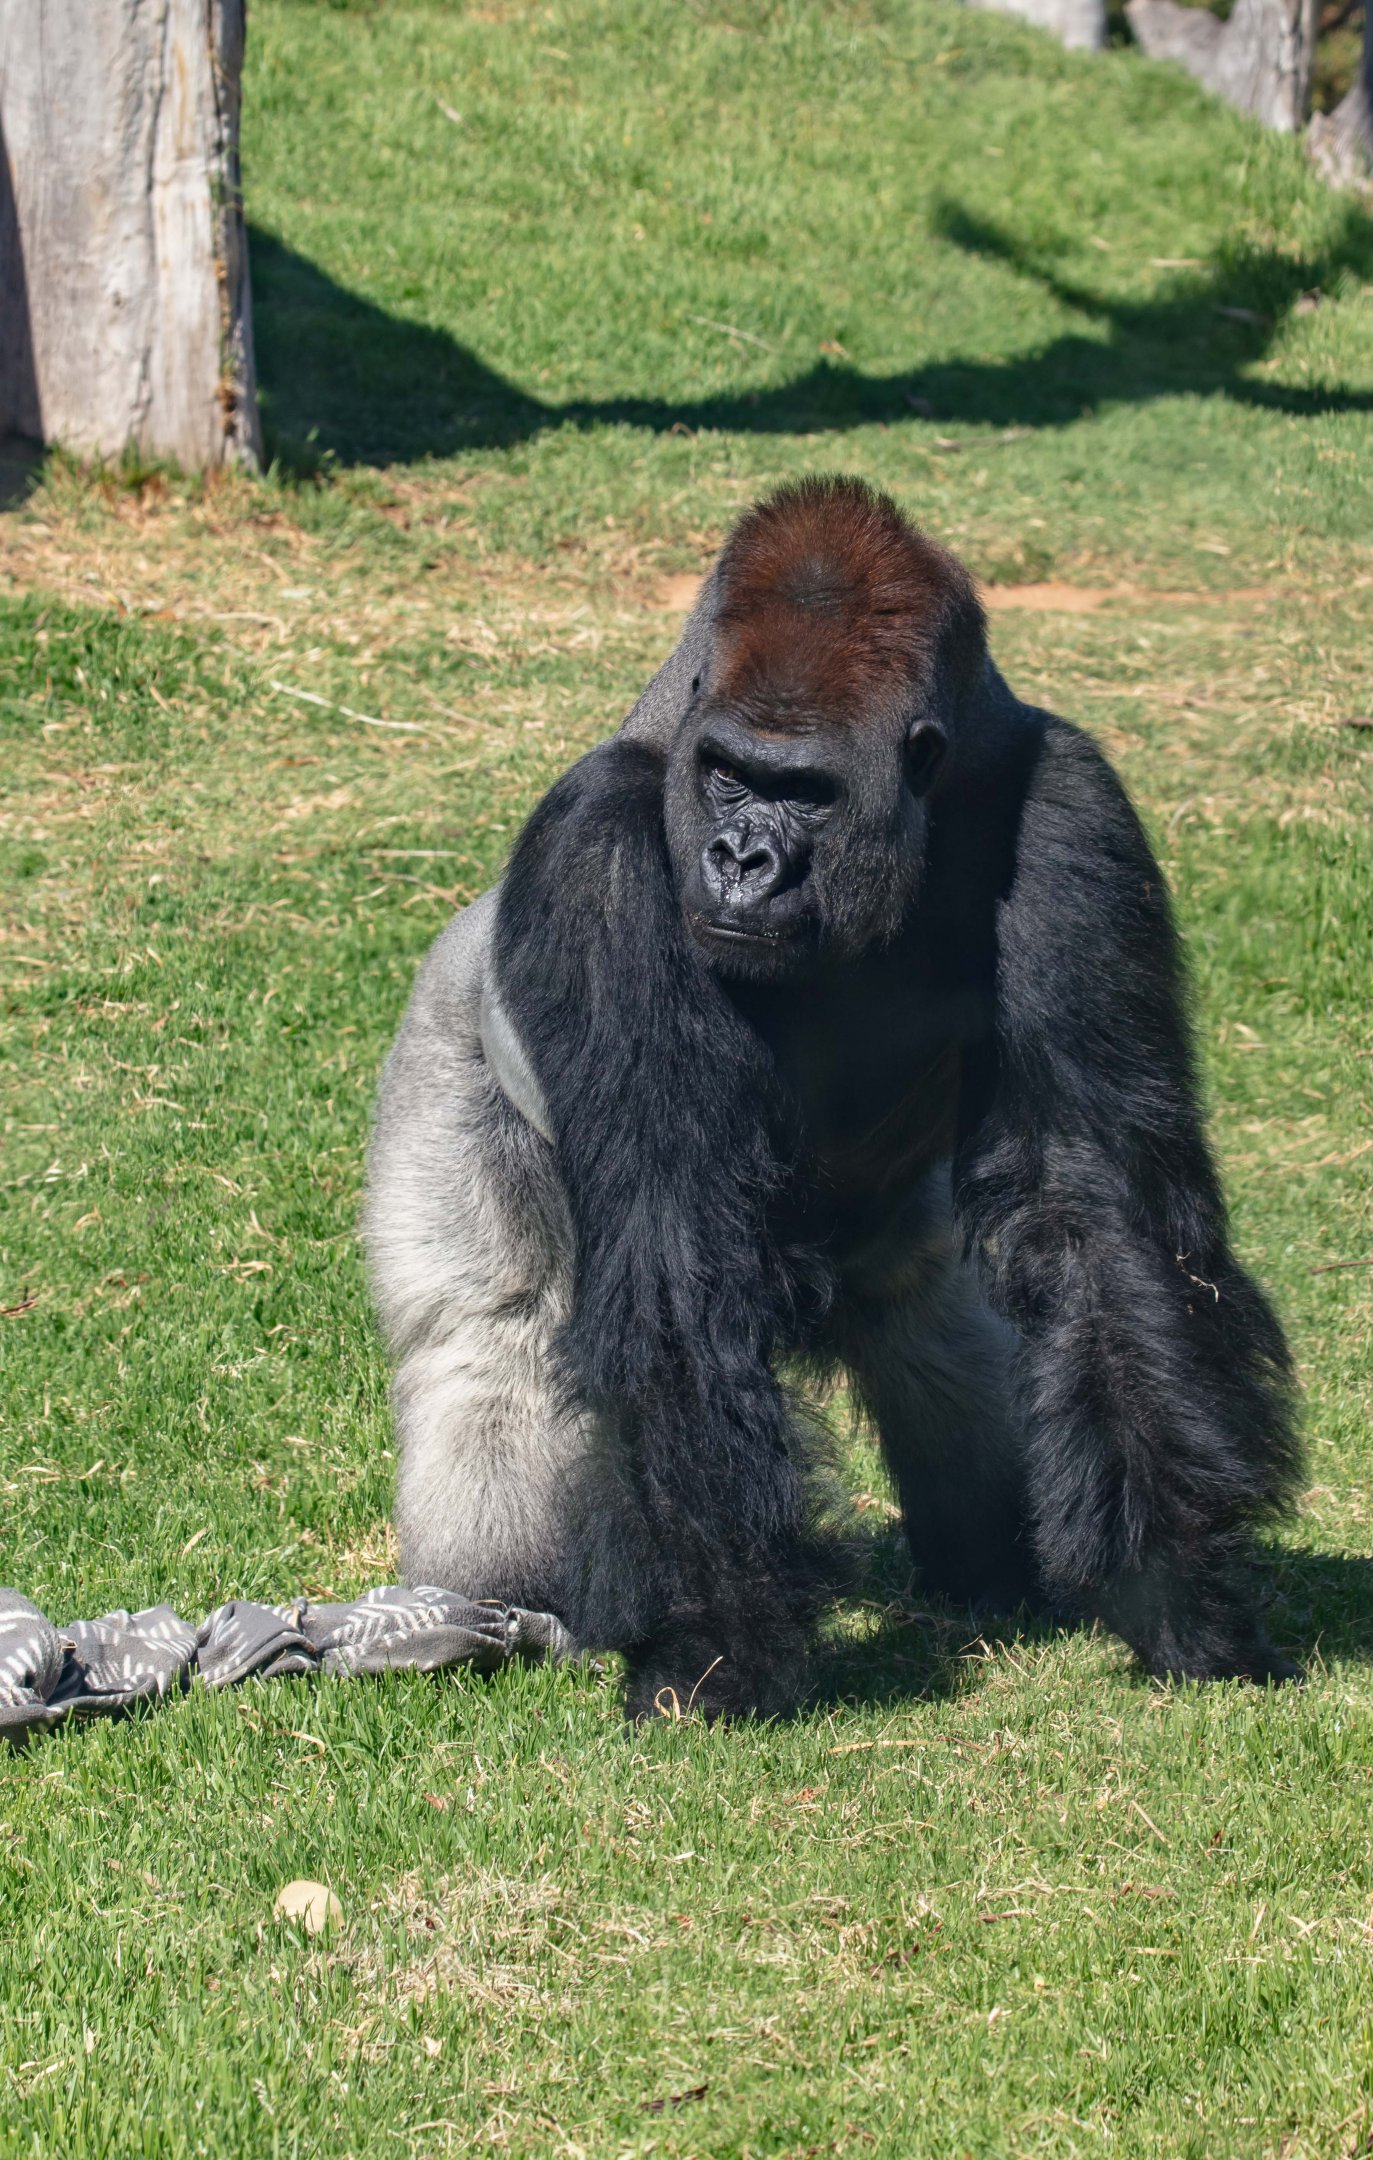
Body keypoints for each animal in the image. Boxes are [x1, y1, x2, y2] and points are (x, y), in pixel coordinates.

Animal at [365, 475, 1301, 1721]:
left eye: (802, 791)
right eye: (726, 773)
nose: (738, 860)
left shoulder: (1069, 803)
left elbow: (1085, 1197)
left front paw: (1176, 1587)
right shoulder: (594, 847)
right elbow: (671, 1240)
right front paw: (717, 1641)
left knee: (937, 1321)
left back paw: (993, 1563)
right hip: (442, 1044)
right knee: (491, 1336)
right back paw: (498, 1600)